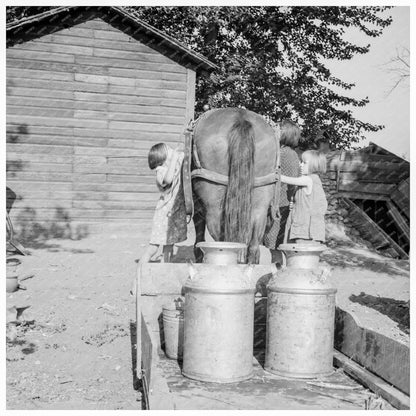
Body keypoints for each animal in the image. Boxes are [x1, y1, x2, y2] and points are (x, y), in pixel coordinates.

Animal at [190, 107, 282, 264]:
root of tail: (241, 118)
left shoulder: (198, 206)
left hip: (215, 208)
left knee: (223, 243)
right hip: (261, 198)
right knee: (253, 244)